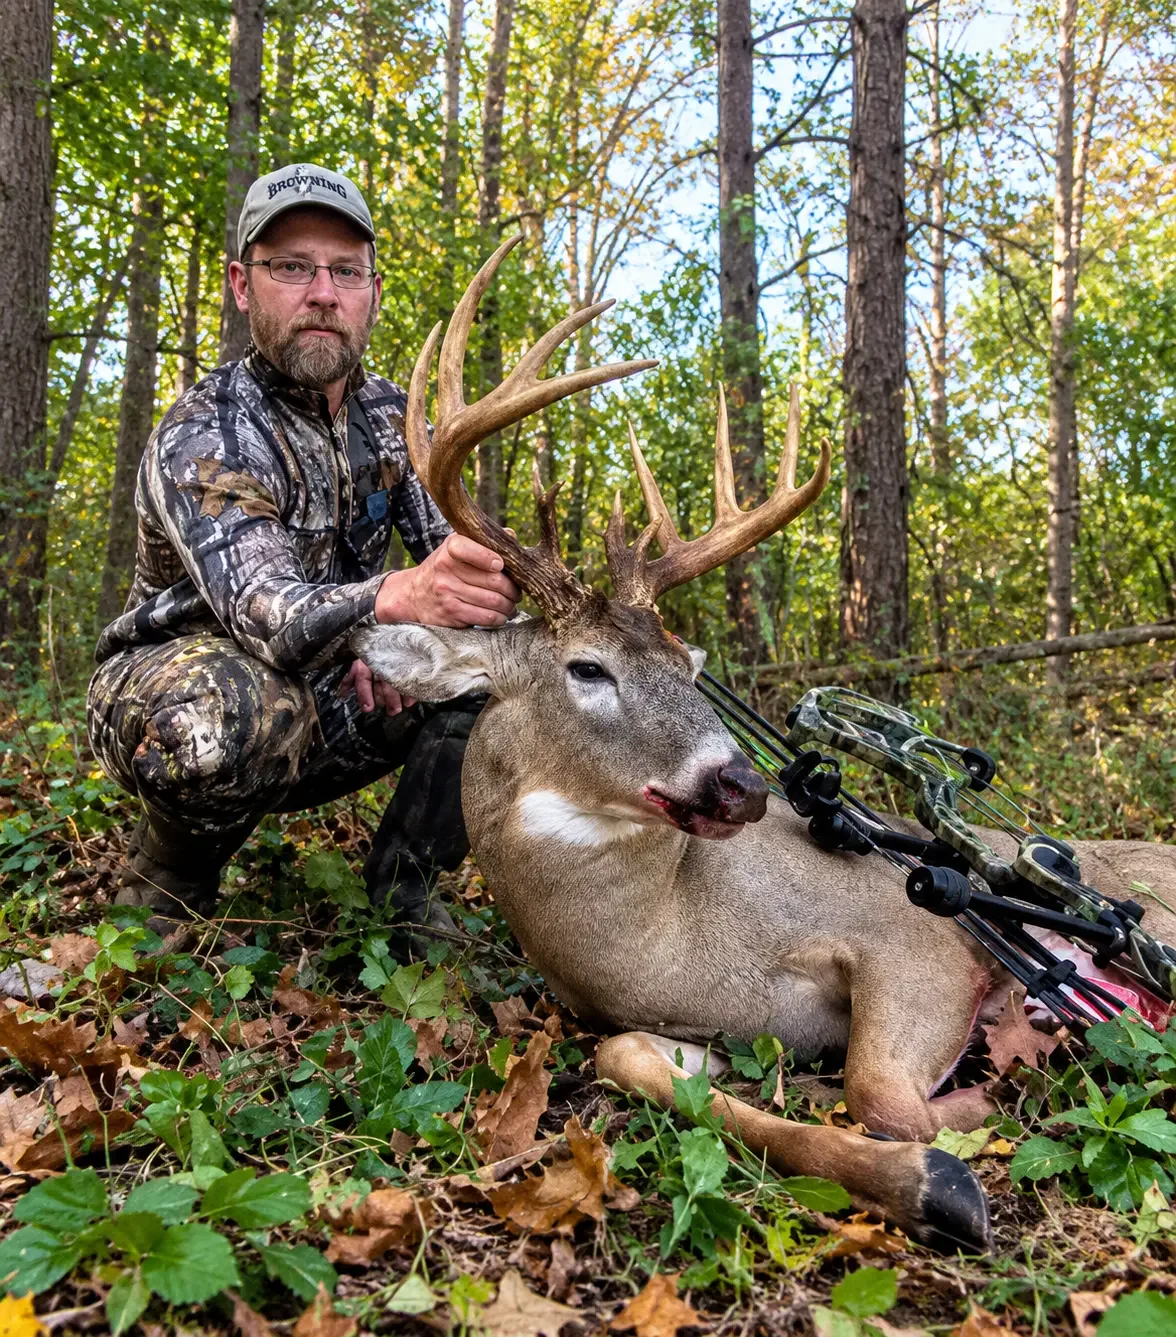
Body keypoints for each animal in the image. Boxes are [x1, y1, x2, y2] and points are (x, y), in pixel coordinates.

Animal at [352, 238, 1176, 1254]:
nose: (740, 783)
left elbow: (880, 1091)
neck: (672, 939)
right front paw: (939, 1174)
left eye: (685, 661)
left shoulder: (917, 928)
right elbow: (635, 1058)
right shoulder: (667, 1021)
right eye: (587, 667)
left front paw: (982, 1105)